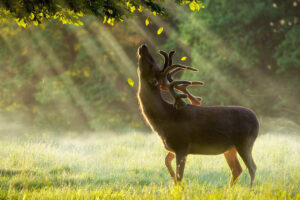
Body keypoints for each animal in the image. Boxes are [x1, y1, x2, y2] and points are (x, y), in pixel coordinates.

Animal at [137, 44, 258, 188]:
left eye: (152, 64)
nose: (143, 46)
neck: (165, 118)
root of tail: (257, 120)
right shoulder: (173, 148)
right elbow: (167, 163)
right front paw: (173, 182)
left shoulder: (182, 145)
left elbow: (180, 176)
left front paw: (178, 188)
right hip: (230, 147)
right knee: (237, 169)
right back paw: (230, 190)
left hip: (245, 141)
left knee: (252, 167)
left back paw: (249, 190)